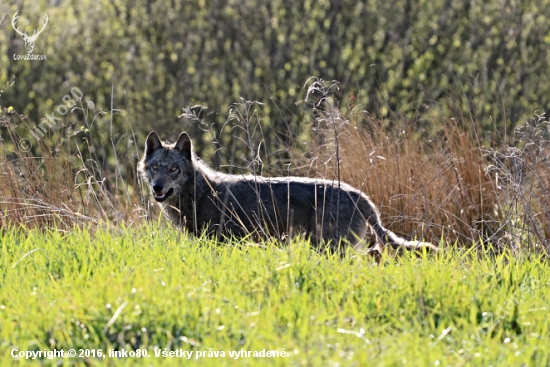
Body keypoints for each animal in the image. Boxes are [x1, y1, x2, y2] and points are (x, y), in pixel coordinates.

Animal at [138, 132, 440, 256]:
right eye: (155, 168)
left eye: (174, 169)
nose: (158, 188)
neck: (199, 192)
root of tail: (360, 195)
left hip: (331, 248)